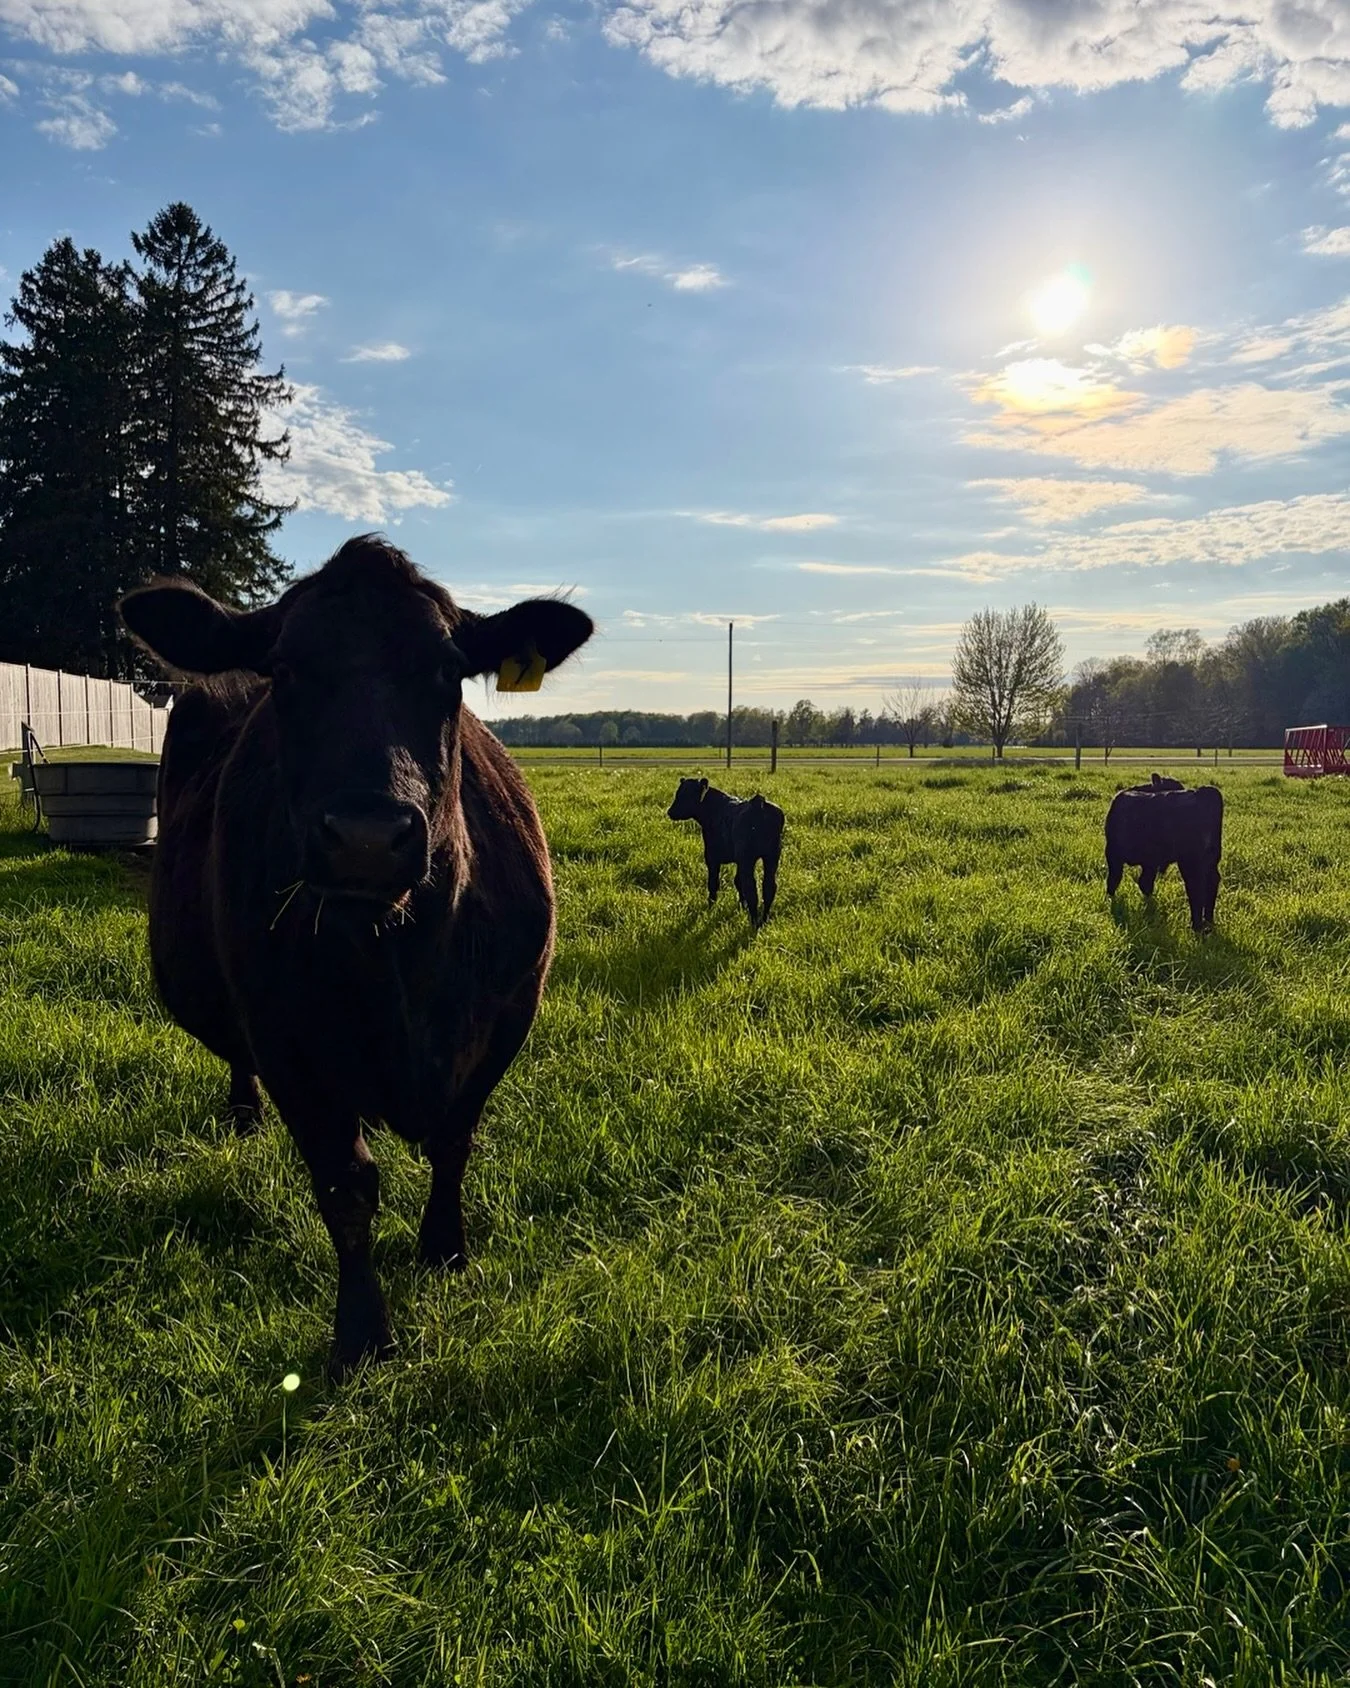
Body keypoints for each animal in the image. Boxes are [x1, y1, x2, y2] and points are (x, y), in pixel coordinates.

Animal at [119, 535, 593, 1377]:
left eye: (448, 671)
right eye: (284, 670)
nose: (368, 837)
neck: (400, 959)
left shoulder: (510, 1016)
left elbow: (453, 1142)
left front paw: (444, 1252)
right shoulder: (288, 1042)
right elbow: (346, 1186)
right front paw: (363, 1332)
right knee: (236, 1061)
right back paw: (243, 1116)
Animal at [666, 777, 784, 927]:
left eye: (686, 795)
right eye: (678, 793)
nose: (670, 811)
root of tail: (759, 803)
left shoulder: (712, 858)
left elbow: (713, 883)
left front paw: (710, 908)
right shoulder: (739, 861)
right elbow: (737, 881)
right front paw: (742, 906)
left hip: (748, 859)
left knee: (751, 889)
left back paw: (754, 923)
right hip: (772, 857)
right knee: (769, 887)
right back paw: (763, 921)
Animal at [1104, 778, 1223, 931]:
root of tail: (1202, 792)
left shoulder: (1113, 854)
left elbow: (1113, 880)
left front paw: (1110, 900)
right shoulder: (1150, 862)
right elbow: (1145, 883)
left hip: (1190, 861)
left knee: (1196, 886)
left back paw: (1196, 926)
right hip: (1211, 859)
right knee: (1212, 881)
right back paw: (1208, 922)